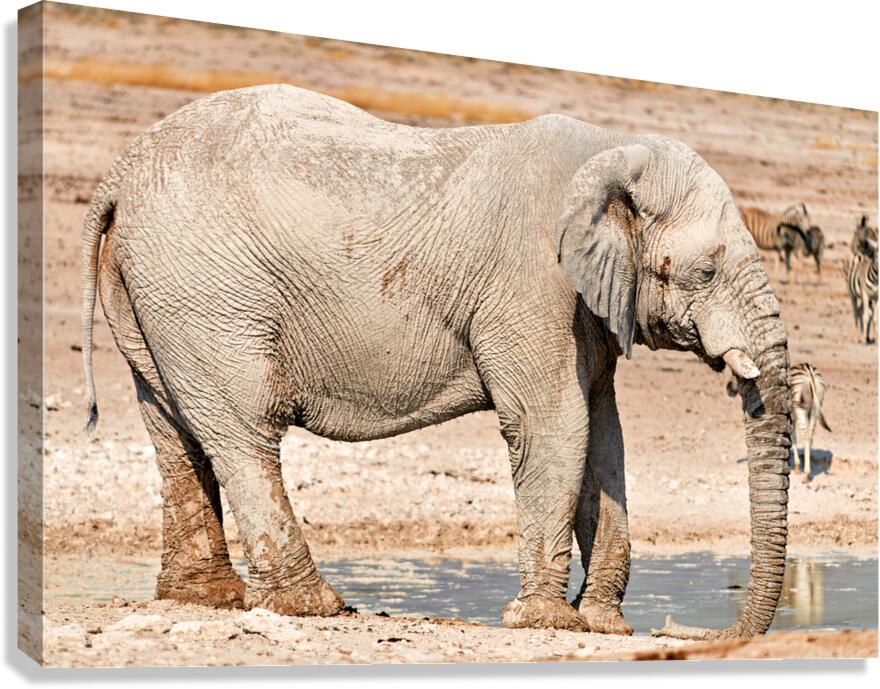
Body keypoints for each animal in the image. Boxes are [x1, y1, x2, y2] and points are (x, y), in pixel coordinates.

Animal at [81, 84, 792, 638]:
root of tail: (116, 176)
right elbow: (553, 427)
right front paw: (546, 623)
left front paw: (603, 626)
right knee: (241, 430)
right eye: (706, 270)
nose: (685, 629)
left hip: (155, 292)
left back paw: (205, 598)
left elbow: (605, 439)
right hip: (206, 290)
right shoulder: (528, 285)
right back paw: (315, 606)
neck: (612, 147)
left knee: (174, 431)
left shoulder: (584, 310)